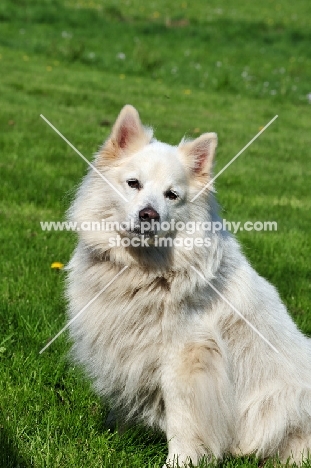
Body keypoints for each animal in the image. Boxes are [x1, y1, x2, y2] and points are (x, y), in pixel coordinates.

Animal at [66, 106, 311, 468]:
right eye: (133, 184)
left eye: (172, 195)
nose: (148, 215)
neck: (145, 271)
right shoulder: (127, 347)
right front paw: (116, 440)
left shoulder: (185, 359)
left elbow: (182, 420)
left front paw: (179, 461)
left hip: (281, 402)